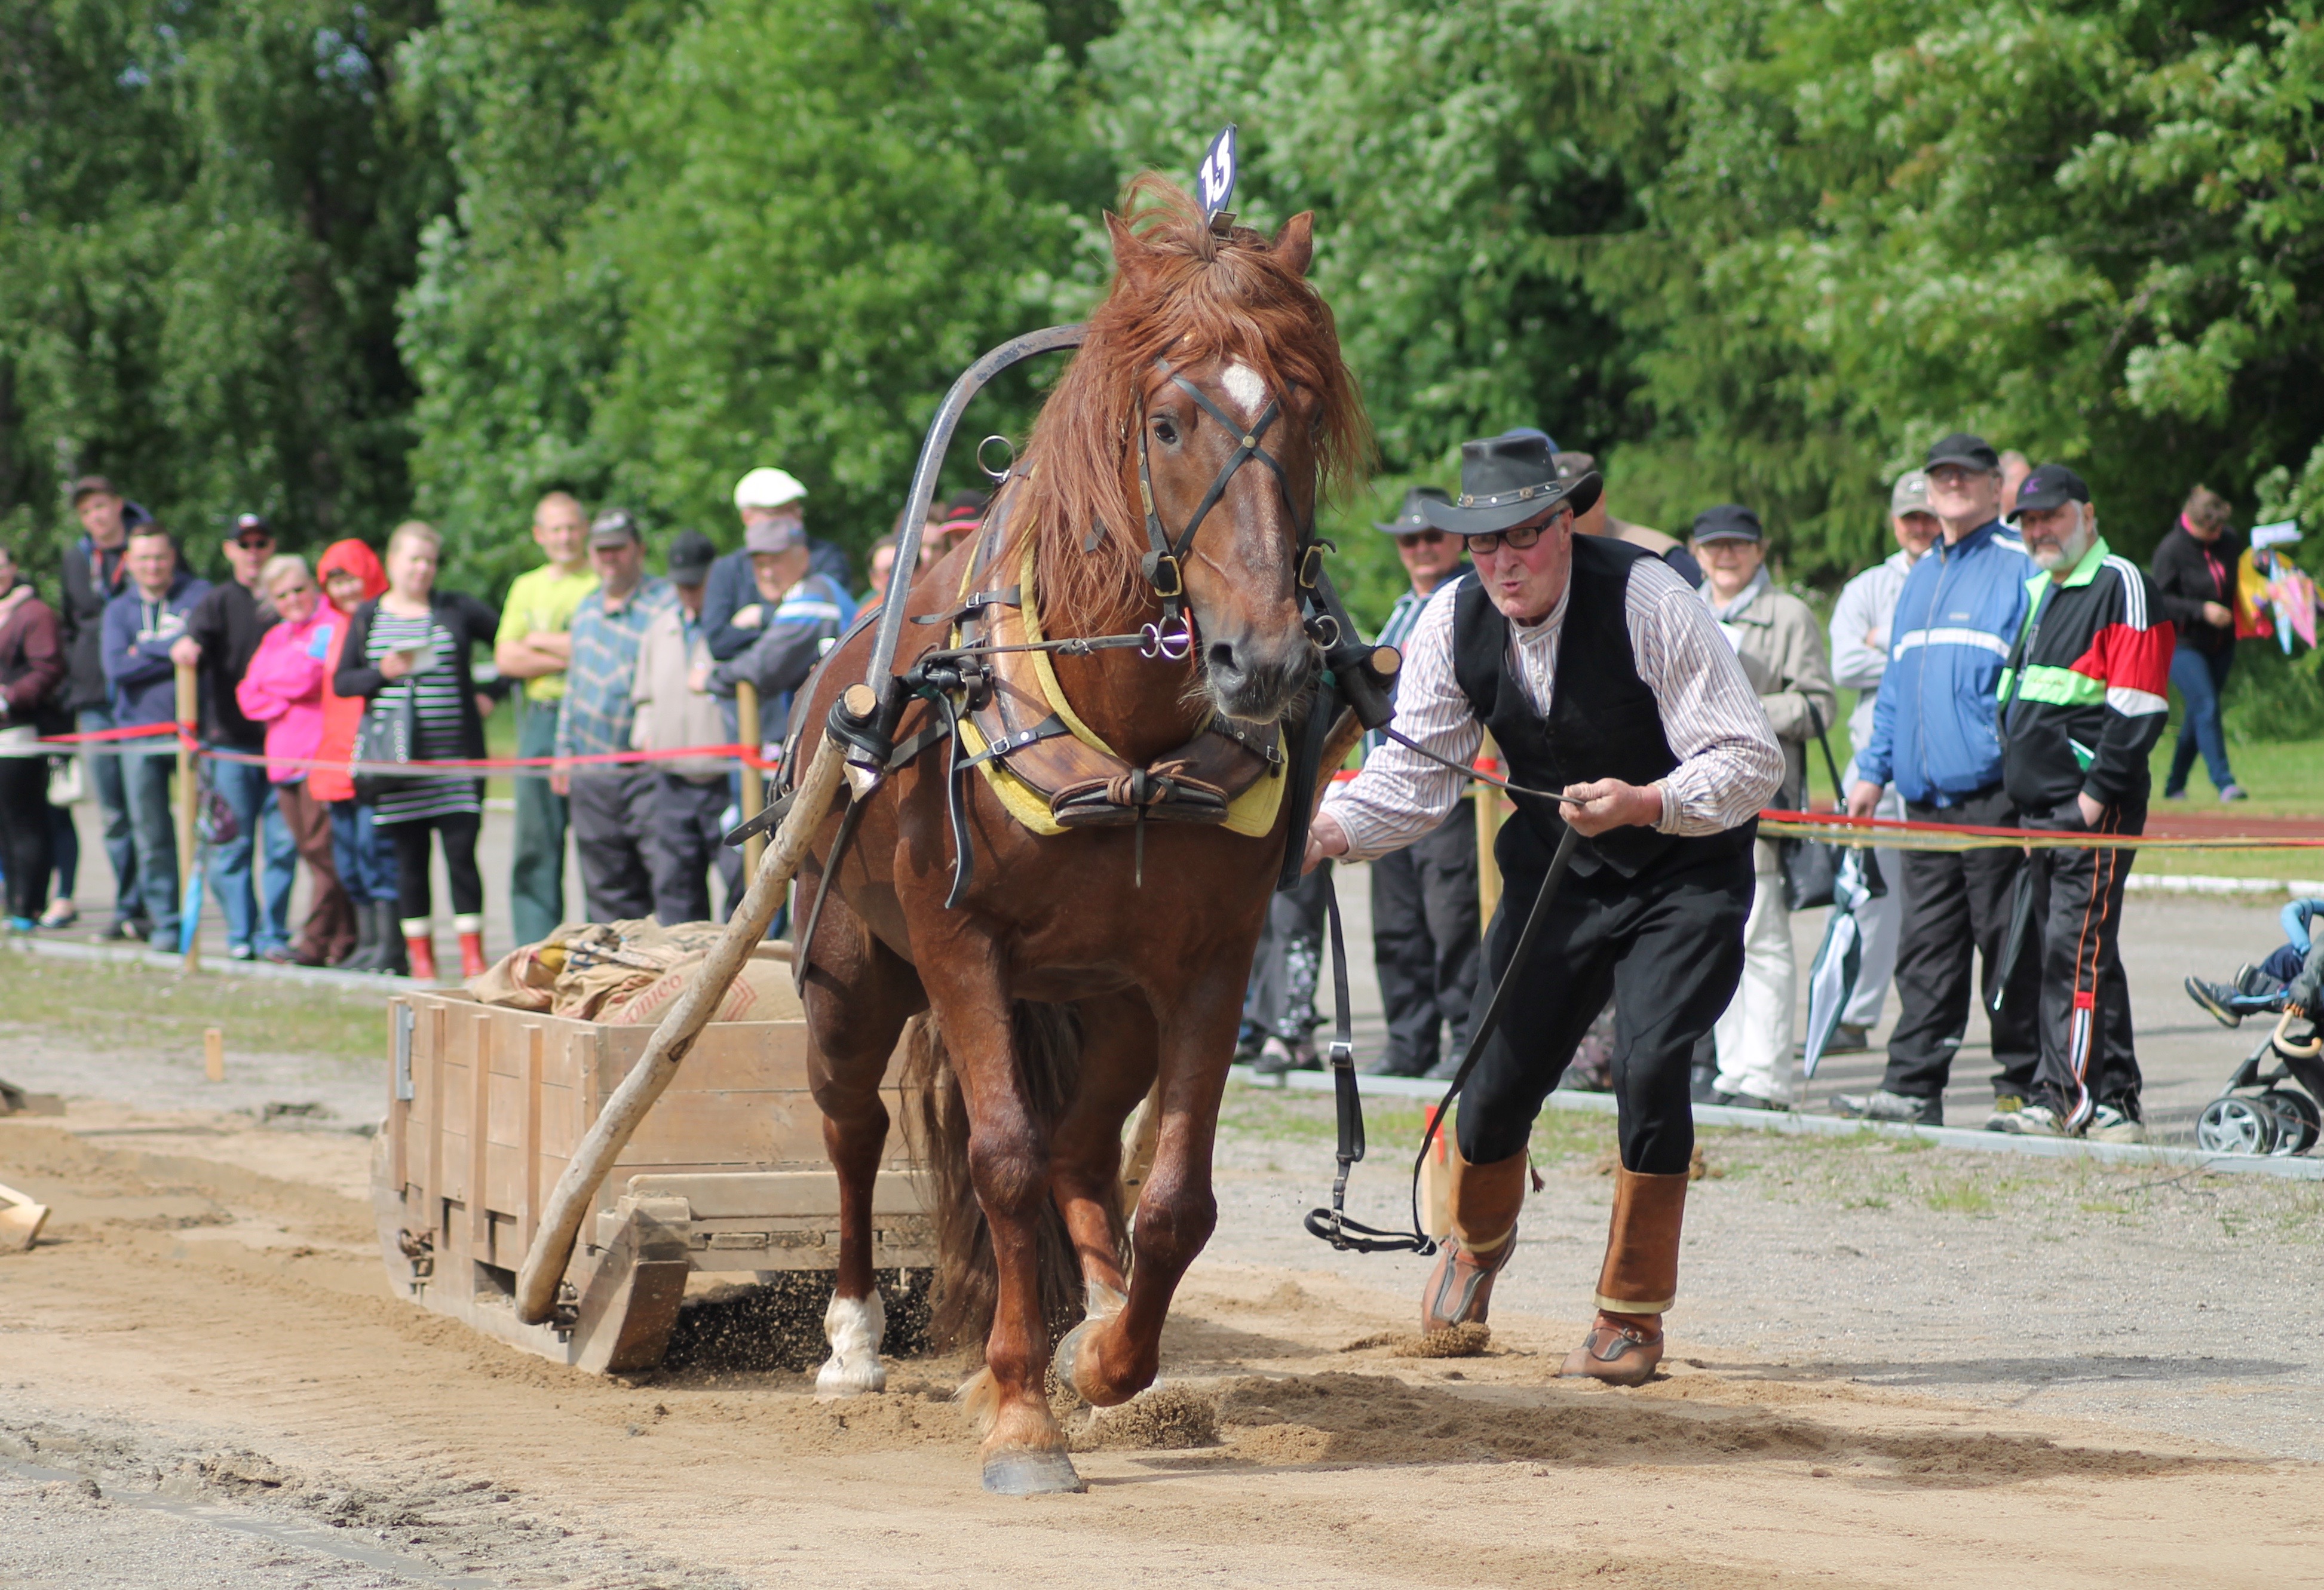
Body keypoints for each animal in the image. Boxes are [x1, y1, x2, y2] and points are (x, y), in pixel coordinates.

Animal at [789, 174, 1370, 1494]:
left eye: (1307, 413)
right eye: (1166, 424)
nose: (1265, 659)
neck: (1128, 737)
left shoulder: (1209, 964)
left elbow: (1176, 1200)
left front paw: (1103, 1359)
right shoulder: (959, 947)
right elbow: (1000, 1158)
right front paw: (1018, 1411)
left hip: (1110, 1006)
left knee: (1081, 1149)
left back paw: (1095, 1311)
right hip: (854, 971)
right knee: (855, 1126)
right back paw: (853, 1338)